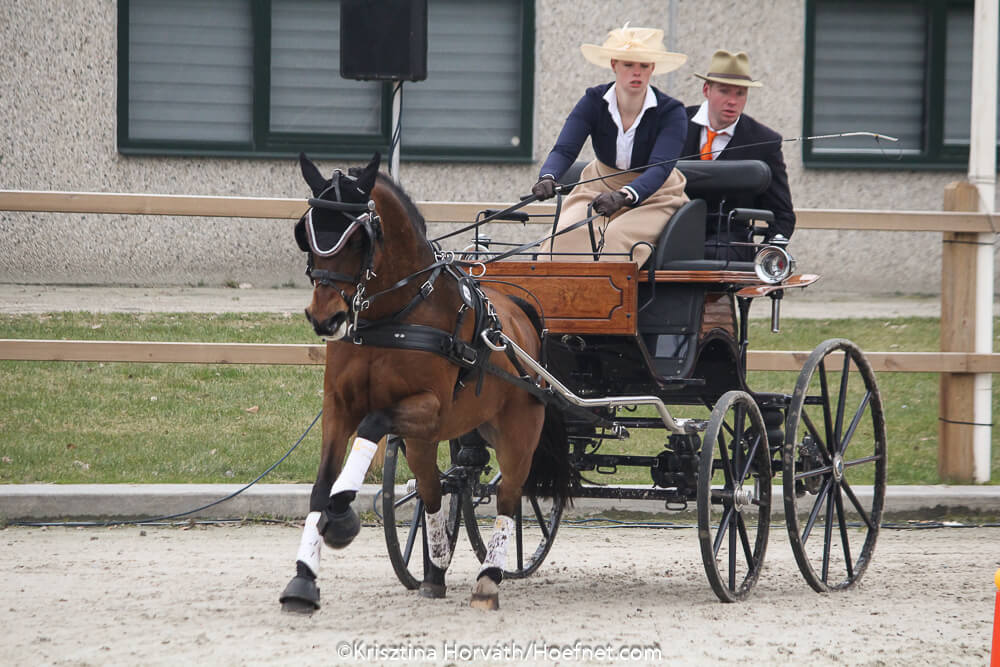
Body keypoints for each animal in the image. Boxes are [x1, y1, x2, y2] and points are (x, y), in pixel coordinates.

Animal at [279, 152, 574, 612]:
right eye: (306, 233)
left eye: (358, 239)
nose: (325, 317)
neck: (396, 315)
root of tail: (520, 312)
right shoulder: (339, 407)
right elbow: (321, 484)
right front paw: (303, 578)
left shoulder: (429, 408)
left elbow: (371, 426)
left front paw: (341, 514)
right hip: (429, 438)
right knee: (433, 490)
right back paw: (435, 571)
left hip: (516, 433)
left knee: (510, 494)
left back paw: (489, 578)